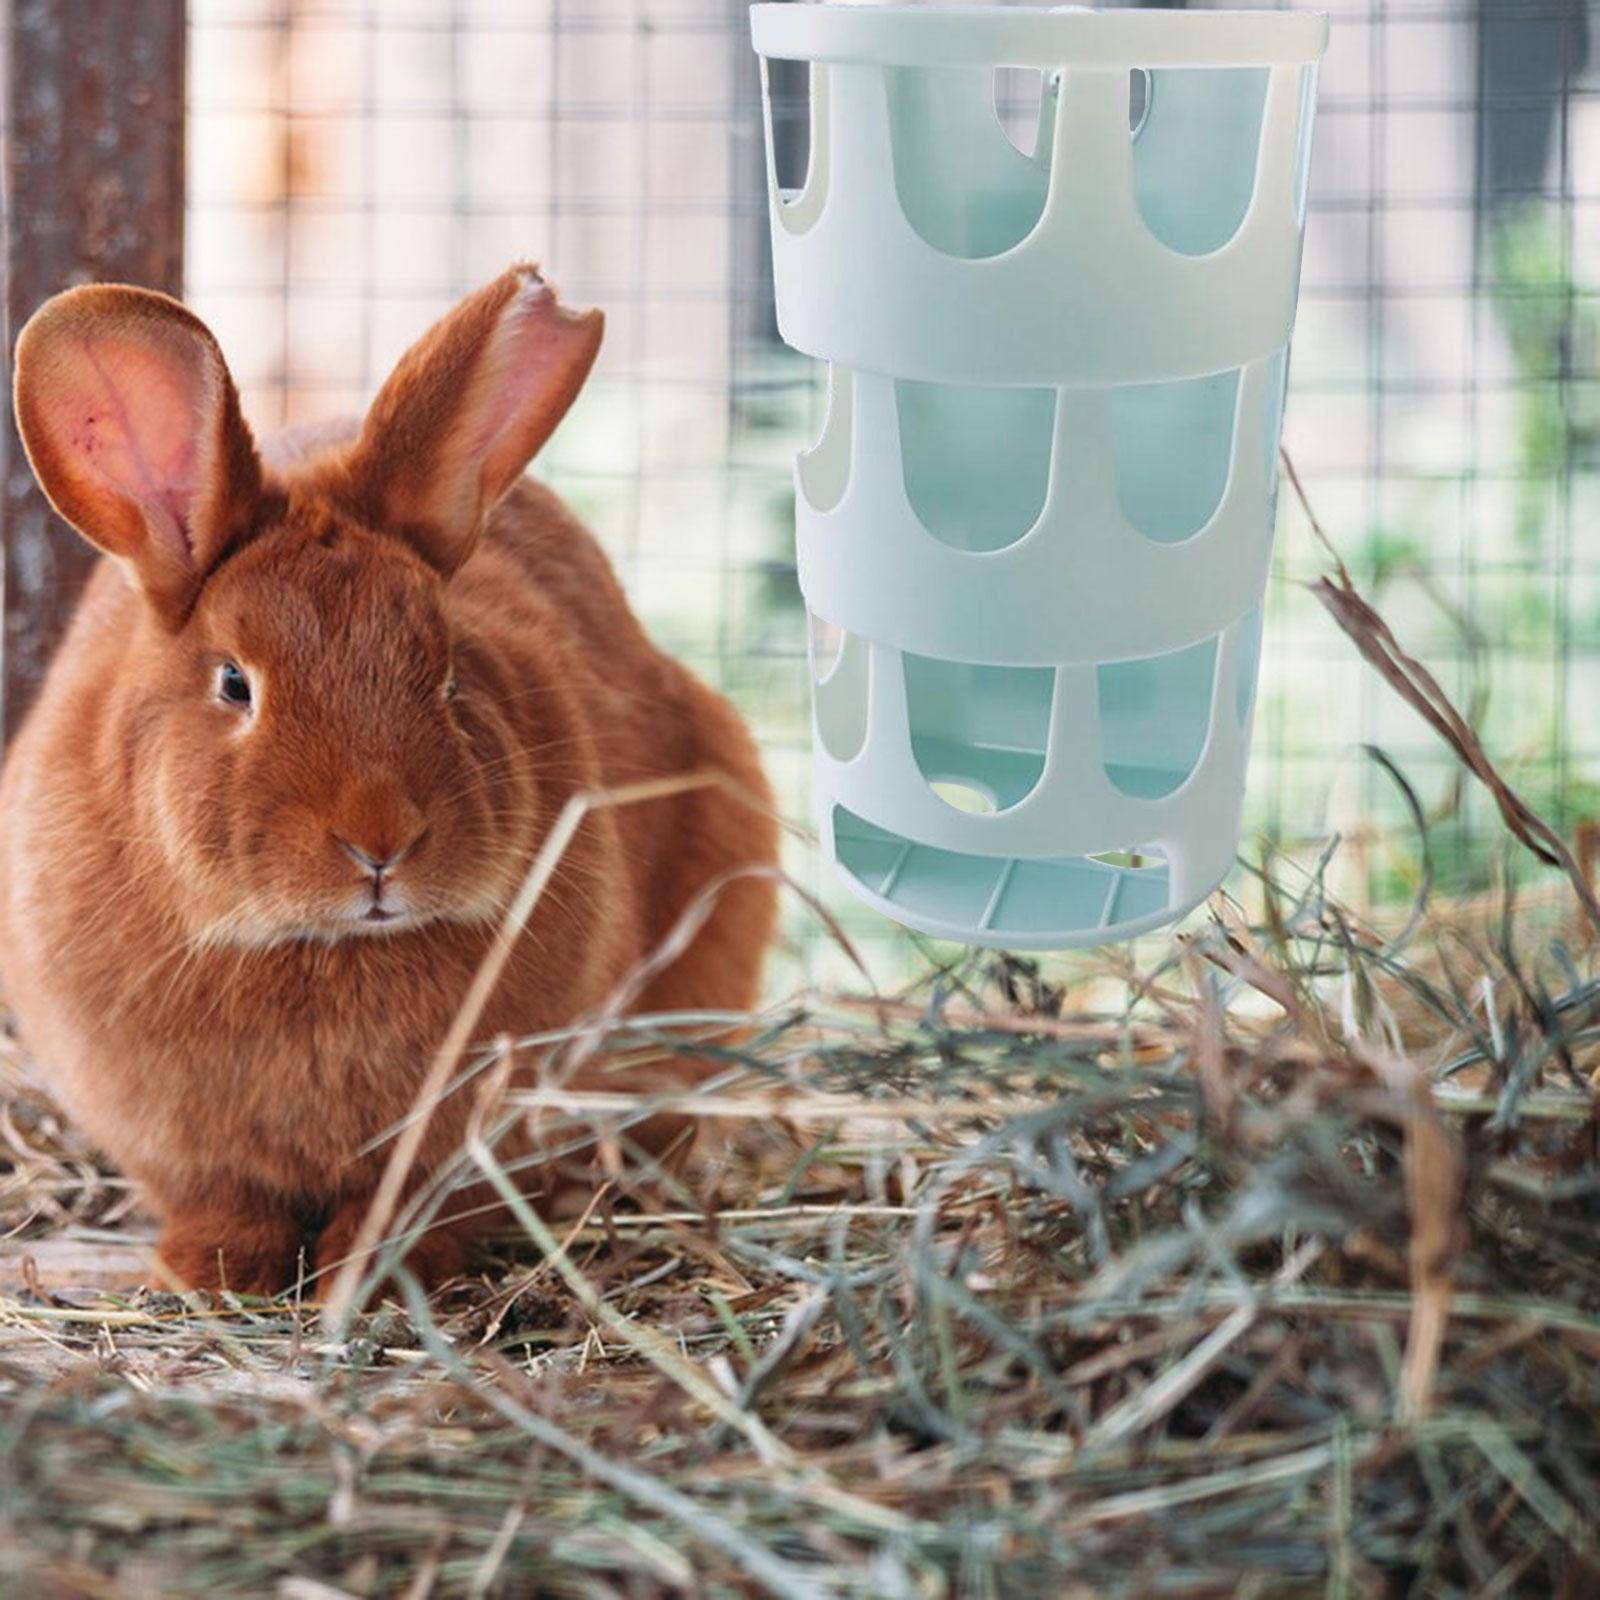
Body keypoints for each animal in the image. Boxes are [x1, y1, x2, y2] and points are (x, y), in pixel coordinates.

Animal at [0, 265, 780, 1298]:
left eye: (449, 672)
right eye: (235, 683)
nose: (381, 844)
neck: (319, 947)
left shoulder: (464, 1135)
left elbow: (414, 1208)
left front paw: (368, 1277)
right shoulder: (174, 1143)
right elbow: (224, 1205)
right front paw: (210, 1273)